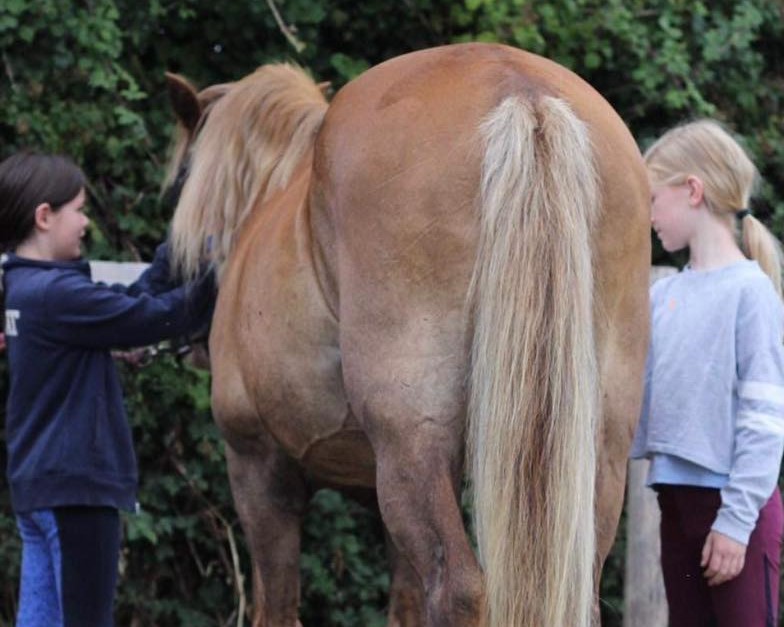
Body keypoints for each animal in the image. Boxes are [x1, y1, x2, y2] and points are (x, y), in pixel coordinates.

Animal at [165, 42, 651, 627]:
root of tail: (522, 92)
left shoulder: (258, 467)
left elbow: (278, 606)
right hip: (597, 450)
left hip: (409, 445)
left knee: (461, 588)